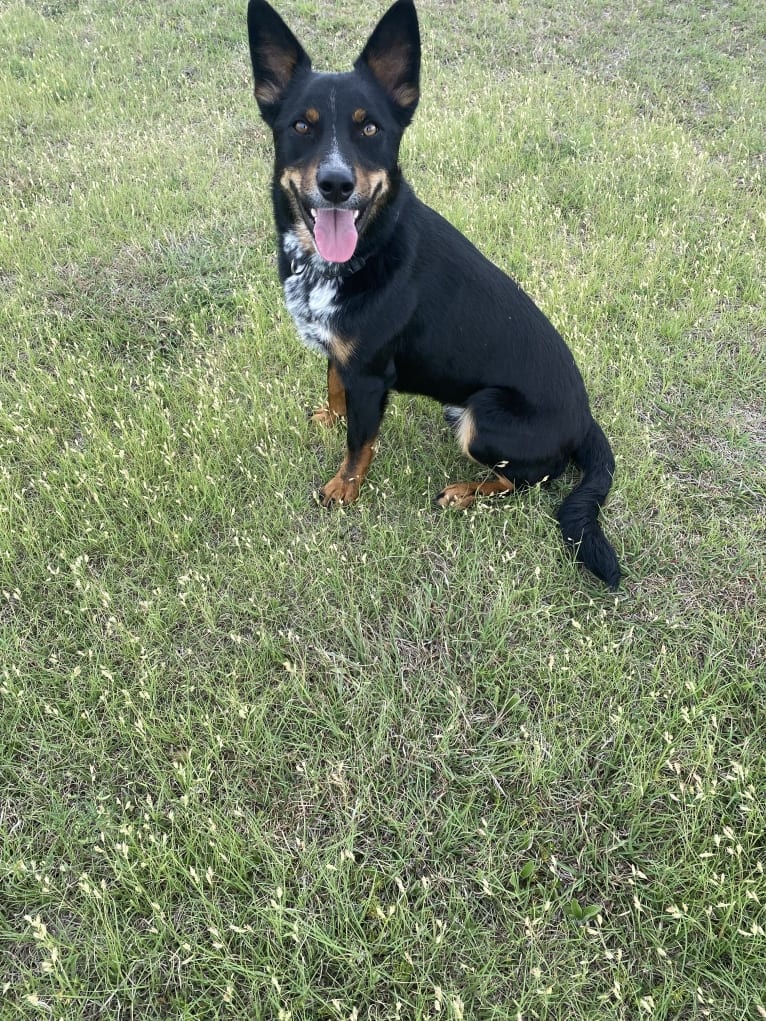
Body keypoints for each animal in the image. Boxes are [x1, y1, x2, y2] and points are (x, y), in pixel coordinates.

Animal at [249, 0, 620, 588]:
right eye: (301, 126)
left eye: (370, 127)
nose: (336, 184)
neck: (361, 250)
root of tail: (586, 422)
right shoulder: (344, 357)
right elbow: (334, 386)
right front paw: (330, 417)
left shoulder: (370, 373)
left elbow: (359, 444)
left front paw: (343, 489)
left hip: (482, 415)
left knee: (527, 479)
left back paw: (465, 492)